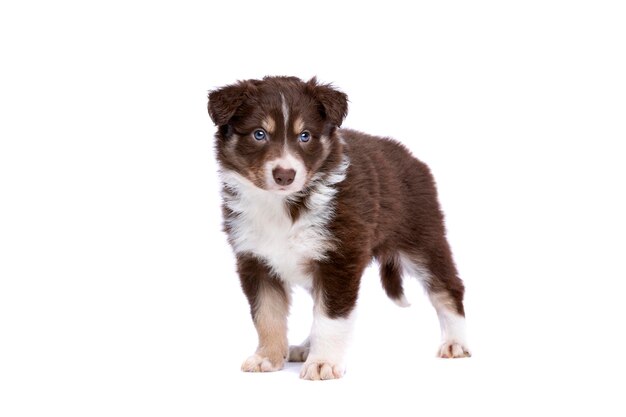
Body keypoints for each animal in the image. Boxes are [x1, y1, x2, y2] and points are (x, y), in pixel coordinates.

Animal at [206, 75, 468, 380]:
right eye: (259, 134)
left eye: (305, 136)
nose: (285, 175)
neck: (284, 206)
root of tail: (411, 157)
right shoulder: (254, 259)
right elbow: (266, 314)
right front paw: (267, 358)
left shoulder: (339, 259)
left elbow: (331, 317)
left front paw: (323, 363)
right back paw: (304, 347)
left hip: (422, 239)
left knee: (449, 287)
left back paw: (456, 343)